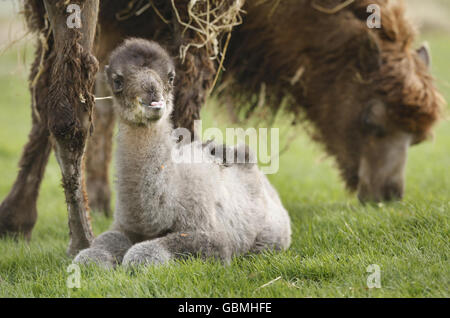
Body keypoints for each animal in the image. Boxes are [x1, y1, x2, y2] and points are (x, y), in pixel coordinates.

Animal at [74, 39, 292, 268]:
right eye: (118, 80)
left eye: (170, 77)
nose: (153, 93)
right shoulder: (123, 226)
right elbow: (102, 242)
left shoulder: (212, 238)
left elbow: (146, 252)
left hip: (271, 236)